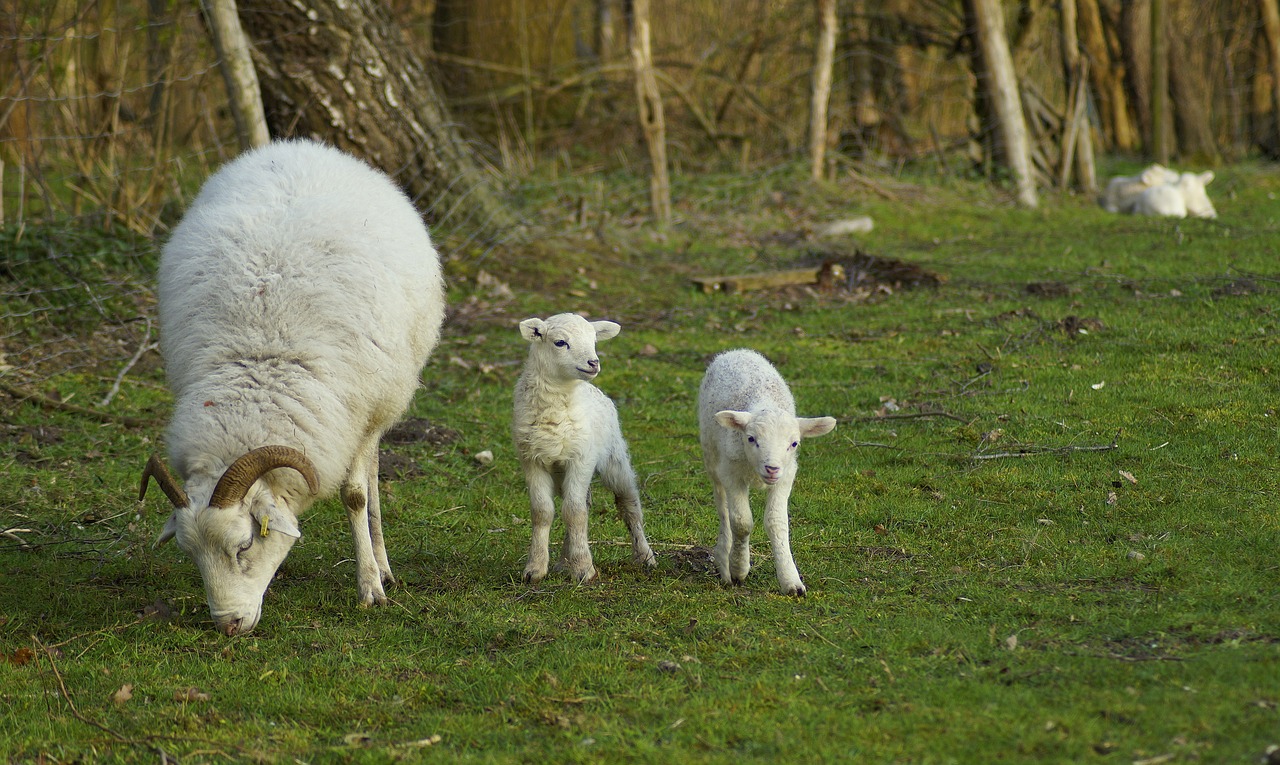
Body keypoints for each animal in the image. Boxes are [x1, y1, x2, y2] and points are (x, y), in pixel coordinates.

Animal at [140, 140, 448, 639]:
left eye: (244, 546)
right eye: (191, 556)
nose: (229, 625)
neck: (263, 362)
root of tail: (300, 147)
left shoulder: (357, 416)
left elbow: (355, 495)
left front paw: (370, 587)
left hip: (383, 399)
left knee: (373, 472)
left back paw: (382, 564)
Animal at [509, 314, 655, 585]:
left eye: (594, 341)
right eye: (560, 342)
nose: (593, 362)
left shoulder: (581, 458)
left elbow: (574, 513)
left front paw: (584, 569)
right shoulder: (532, 460)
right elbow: (543, 512)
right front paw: (535, 568)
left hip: (614, 459)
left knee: (628, 505)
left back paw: (644, 556)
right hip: (560, 471)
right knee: (580, 503)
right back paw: (563, 561)